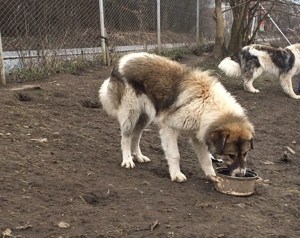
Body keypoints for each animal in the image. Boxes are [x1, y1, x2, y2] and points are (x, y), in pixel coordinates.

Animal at [99, 52, 254, 182]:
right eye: (231, 155)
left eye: (245, 153)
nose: (241, 174)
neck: (207, 103)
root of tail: (122, 60)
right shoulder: (169, 129)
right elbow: (175, 155)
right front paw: (176, 174)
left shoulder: (197, 136)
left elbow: (206, 159)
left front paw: (212, 176)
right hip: (130, 114)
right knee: (126, 138)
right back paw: (127, 160)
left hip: (144, 118)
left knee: (136, 137)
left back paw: (138, 156)